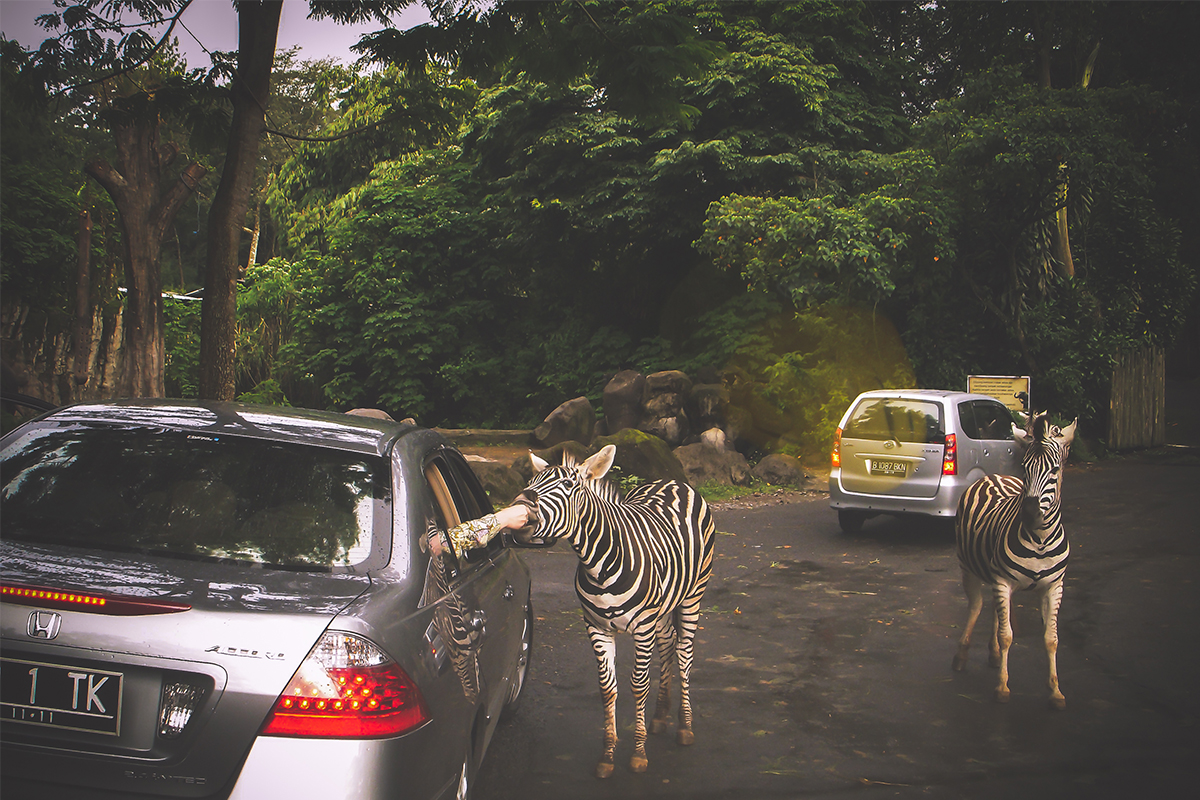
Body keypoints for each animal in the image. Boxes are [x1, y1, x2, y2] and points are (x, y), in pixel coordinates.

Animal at [513, 443, 710, 777]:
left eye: (569, 485)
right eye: (531, 482)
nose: (521, 507)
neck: (599, 565)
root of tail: (673, 481)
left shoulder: (642, 627)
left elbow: (638, 685)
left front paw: (638, 754)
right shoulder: (596, 627)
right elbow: (608, 688)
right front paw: (607, 755)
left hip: (692, 594)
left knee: (684, 652)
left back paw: (685, 726)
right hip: (662, 607)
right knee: (668, 642)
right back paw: (661, 716)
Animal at [955, 410, 1080, 710]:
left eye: (1055, 470)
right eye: (1025, 468)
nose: (1030, 513)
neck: (1040, 540)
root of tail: (993, 475)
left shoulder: (1054, 587)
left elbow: (1051, 638)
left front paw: (1055, 691)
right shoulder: (1003, 581)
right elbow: (1007, 635)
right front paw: (1002, 688)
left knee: (994, 610)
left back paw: (992, 654)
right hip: (968, 567)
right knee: (976, 606)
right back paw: (962, 655)